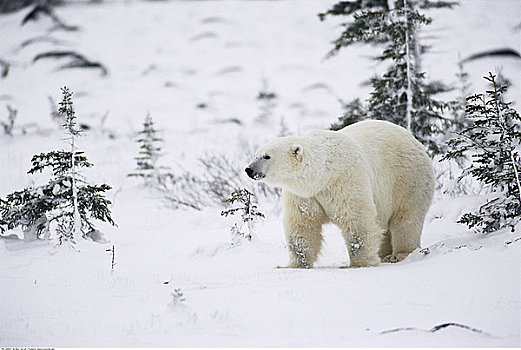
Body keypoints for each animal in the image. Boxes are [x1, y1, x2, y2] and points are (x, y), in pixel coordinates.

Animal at [246, 120, 432, 268]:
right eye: (255, 155)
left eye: (266, 156)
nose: (249, 169)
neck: (322, 174)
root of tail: (413, 139)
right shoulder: (304, 194)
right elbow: (302, 225)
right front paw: (295, 264)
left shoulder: (345, 180)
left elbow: (356, 219)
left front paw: (359, 263)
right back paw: (384, 253)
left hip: (407, 180)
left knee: (406, 218)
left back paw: (399, 254)